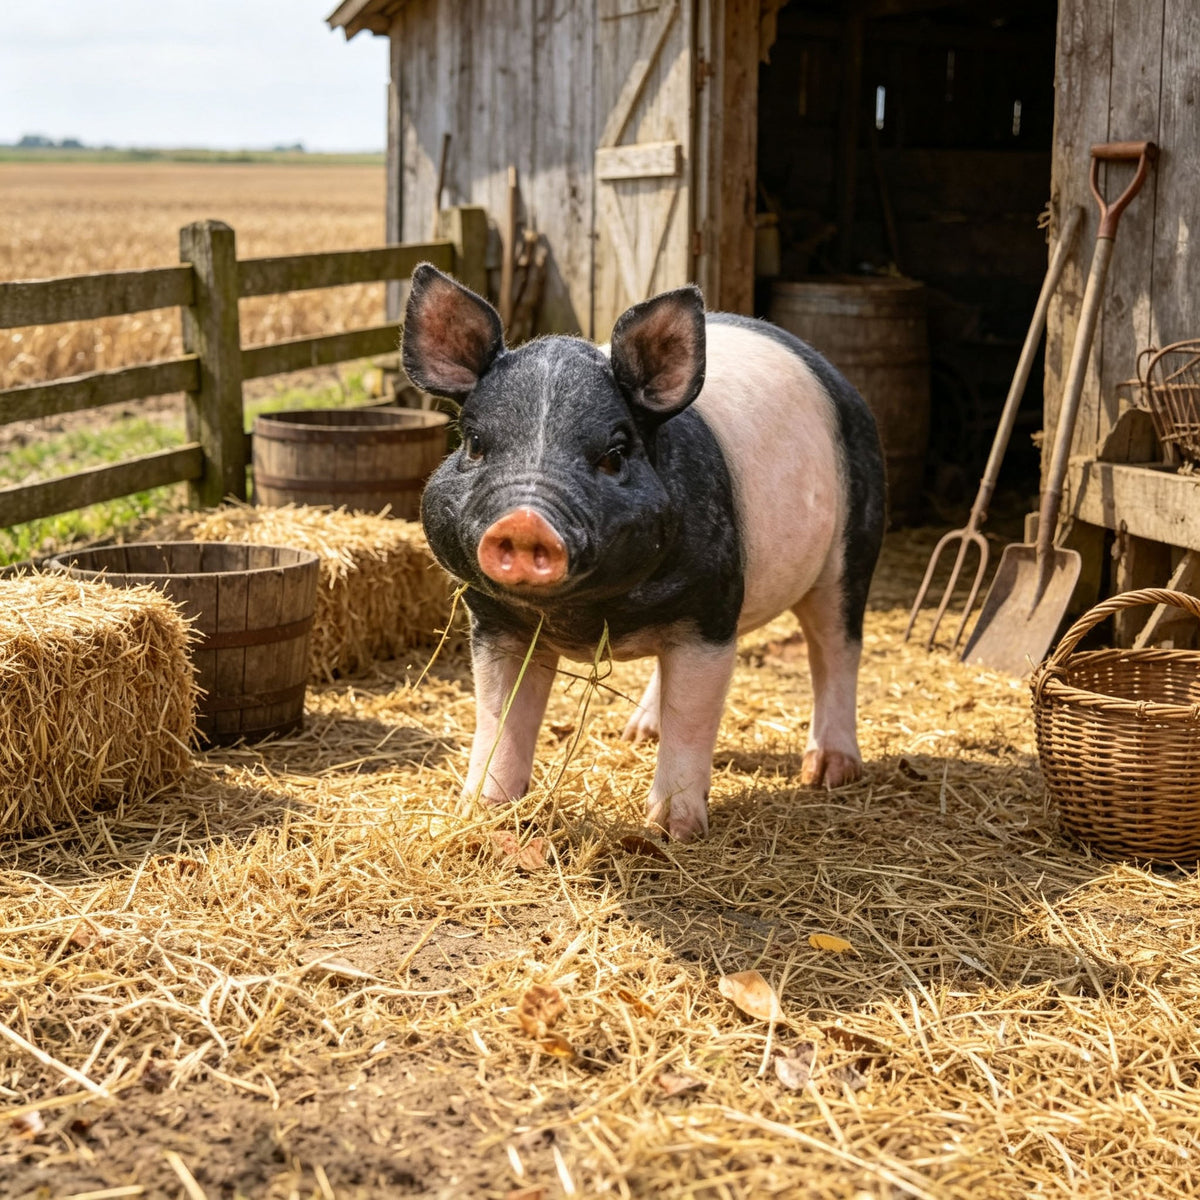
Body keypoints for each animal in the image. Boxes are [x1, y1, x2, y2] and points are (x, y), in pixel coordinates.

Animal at [404, 263, 886, 841]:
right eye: (475, 444)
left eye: (614, 454)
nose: (524, 523)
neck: (584, 616)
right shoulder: (495, 621)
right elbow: (501, 715)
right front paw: (480, 813)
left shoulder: (711, 611)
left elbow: (694, 717)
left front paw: (672, 831)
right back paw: (638, 734)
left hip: (855, 541)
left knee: (836, 648)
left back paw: (829, 774)